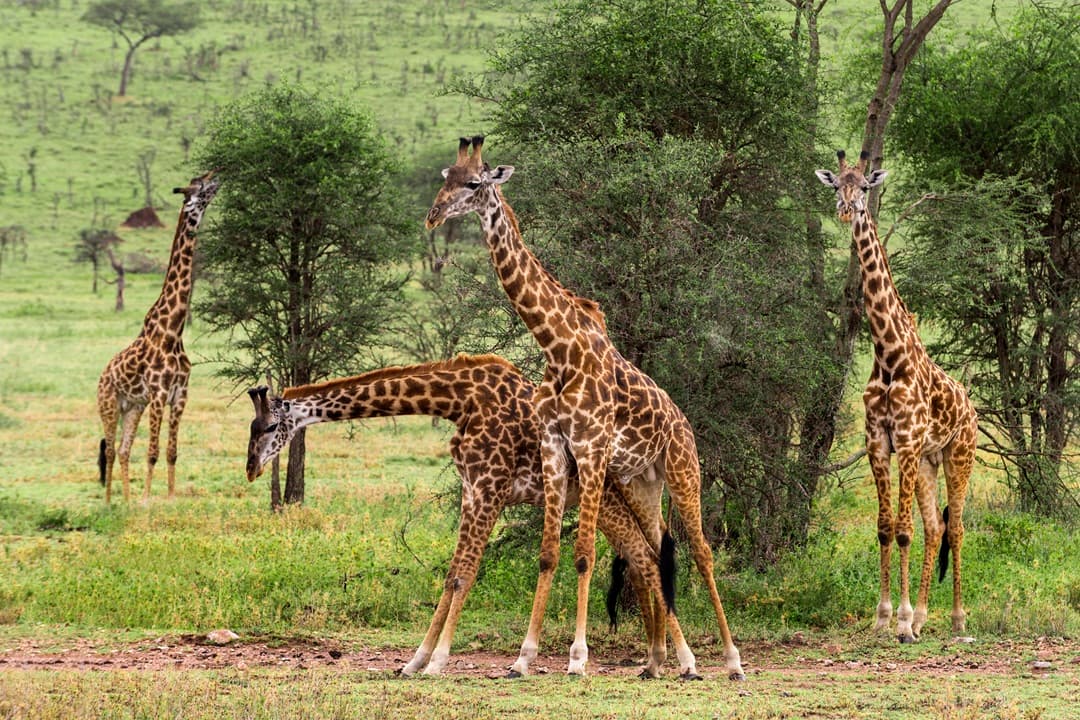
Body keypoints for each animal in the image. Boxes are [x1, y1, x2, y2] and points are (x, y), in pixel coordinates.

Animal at [97, 169, 220, 503]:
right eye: (200, 184)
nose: (218, 174)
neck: (173, 331)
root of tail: (102, 374)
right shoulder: (159, 393)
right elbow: (151, 452)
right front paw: (147, 500)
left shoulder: (180, 395)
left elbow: (171, 452)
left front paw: (170, 497)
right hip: (108, 405)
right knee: (110, 451)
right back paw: (110, 502)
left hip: (133, 407)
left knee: (123, 450)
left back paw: (125, 502)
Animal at [245, 354, 701, 678]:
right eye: (251, 426)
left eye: (267, 427)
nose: (250, 469)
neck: (459, 400)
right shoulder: (471, 490)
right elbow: (451, 575)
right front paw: (414, 661)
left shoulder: (489, 489)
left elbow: (464, 575)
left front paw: (437, 661)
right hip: (619, 503)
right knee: (646, 560)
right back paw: (656, 661)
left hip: (616, 499)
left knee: (650, 560)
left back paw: (683, 661)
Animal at [426, 137, 744, 680]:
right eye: (446, 175)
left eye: (474, 183)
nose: (432, 215)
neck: (559, 347)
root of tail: (683, 423)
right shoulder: (556, 448)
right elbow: (550, 554)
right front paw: (523, 658)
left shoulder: (591, 447)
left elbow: (584, 553)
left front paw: (577, 657)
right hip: (642, 483)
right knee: (656, 550)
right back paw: (662, 660)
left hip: (684, 471)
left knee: (701, 552)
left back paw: (730, 659)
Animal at [815, 150, 977, 642]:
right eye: (837, 185)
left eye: (865, 186)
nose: (846, 210)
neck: (888, 355)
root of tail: (972, 408)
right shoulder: (879, 443)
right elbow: (887, 528)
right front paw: (885, 616)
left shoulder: (904, 441)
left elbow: (903, 529)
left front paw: (902, 622)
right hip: (927, 462)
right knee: (934, 525)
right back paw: (925, 616)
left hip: (958, 456)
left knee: (956, 527)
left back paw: (956, 619)